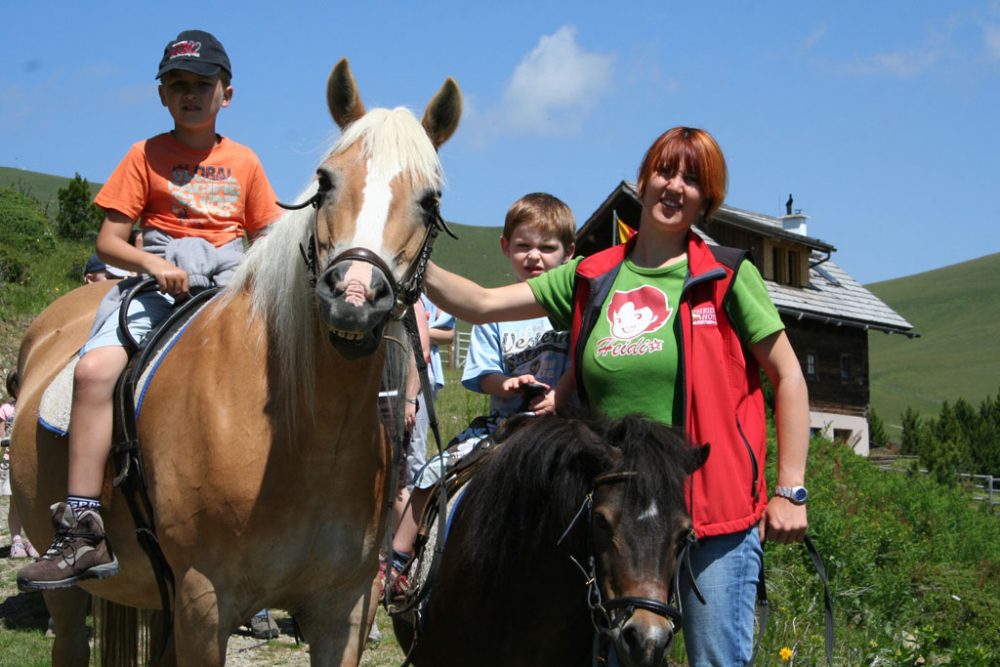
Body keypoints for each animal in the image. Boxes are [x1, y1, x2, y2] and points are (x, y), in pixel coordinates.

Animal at [9, 58, 462, 667]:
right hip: (71, 589)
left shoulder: (343, 611)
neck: (305, 439)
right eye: (325, 182)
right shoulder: (204, 602)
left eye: (430, 201)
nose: (353, 297)